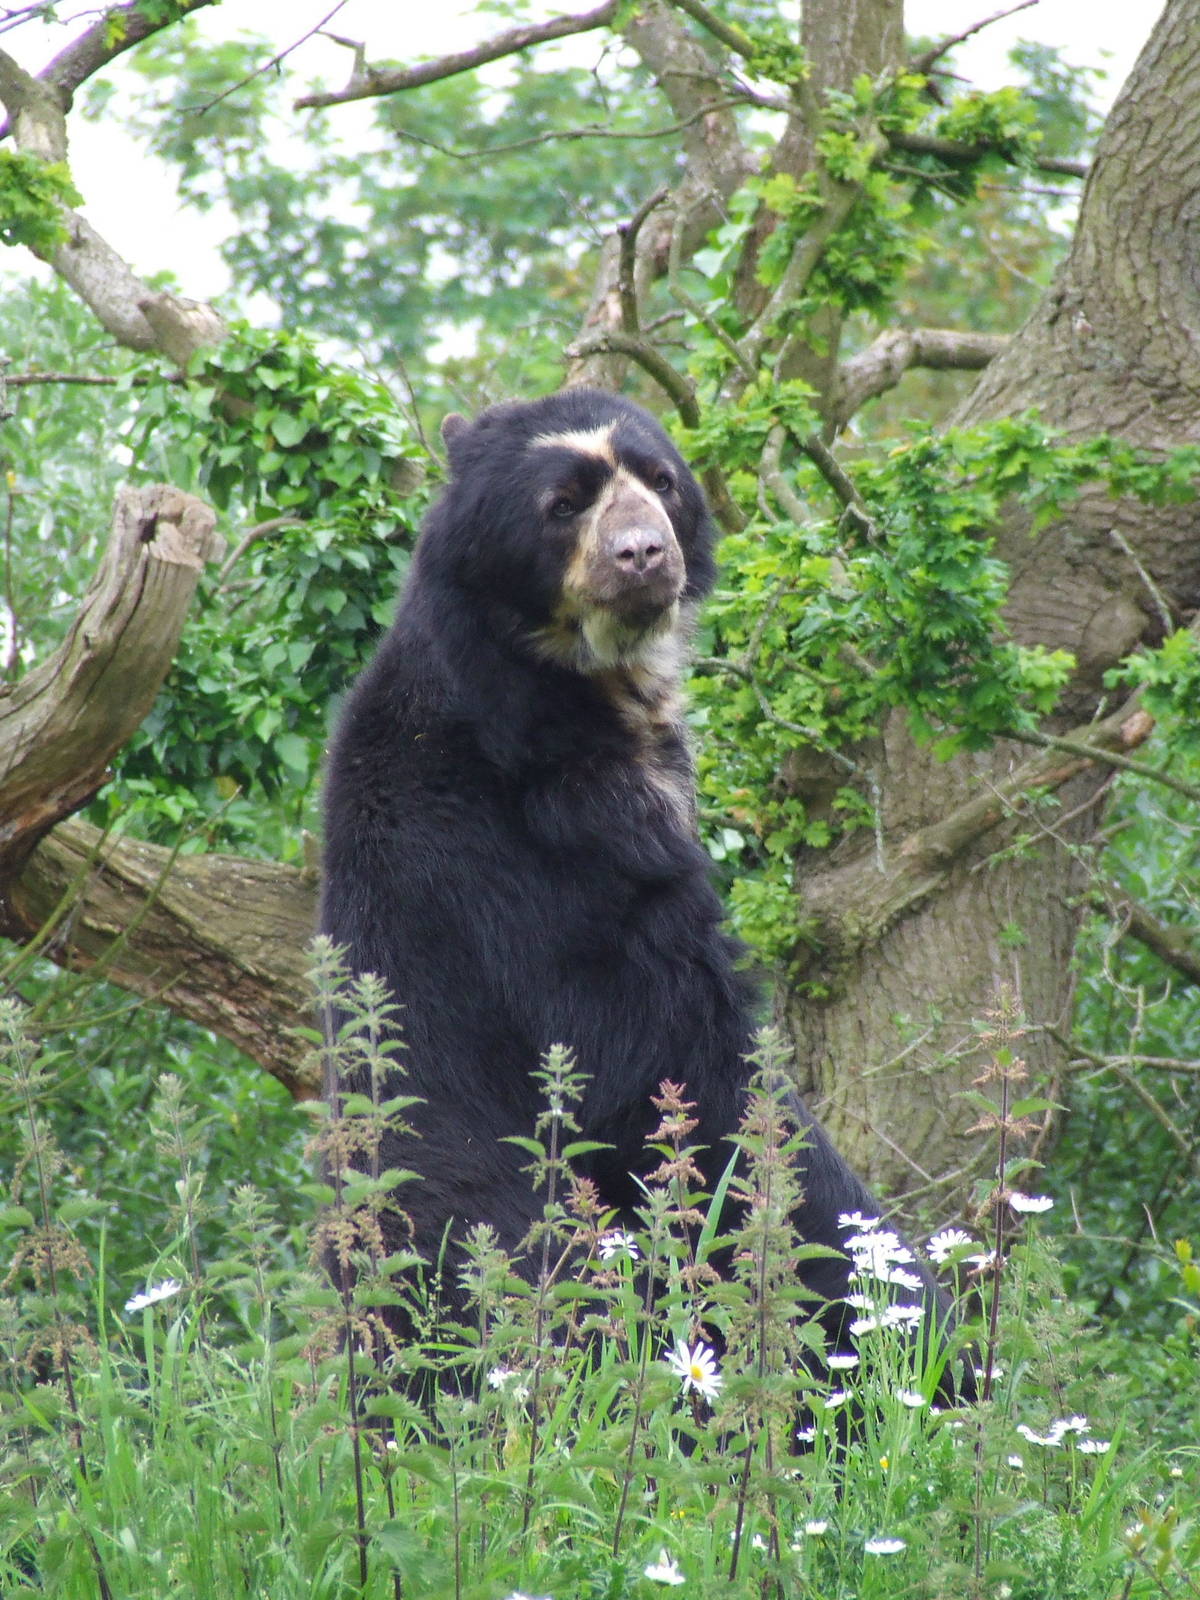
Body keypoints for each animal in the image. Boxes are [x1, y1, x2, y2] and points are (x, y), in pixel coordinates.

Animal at [319, 387, 946, 1367]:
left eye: (661, 479)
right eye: (561, 505)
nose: (644, 553)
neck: (575, 685)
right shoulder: (550, 856)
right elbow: (666, 1057)